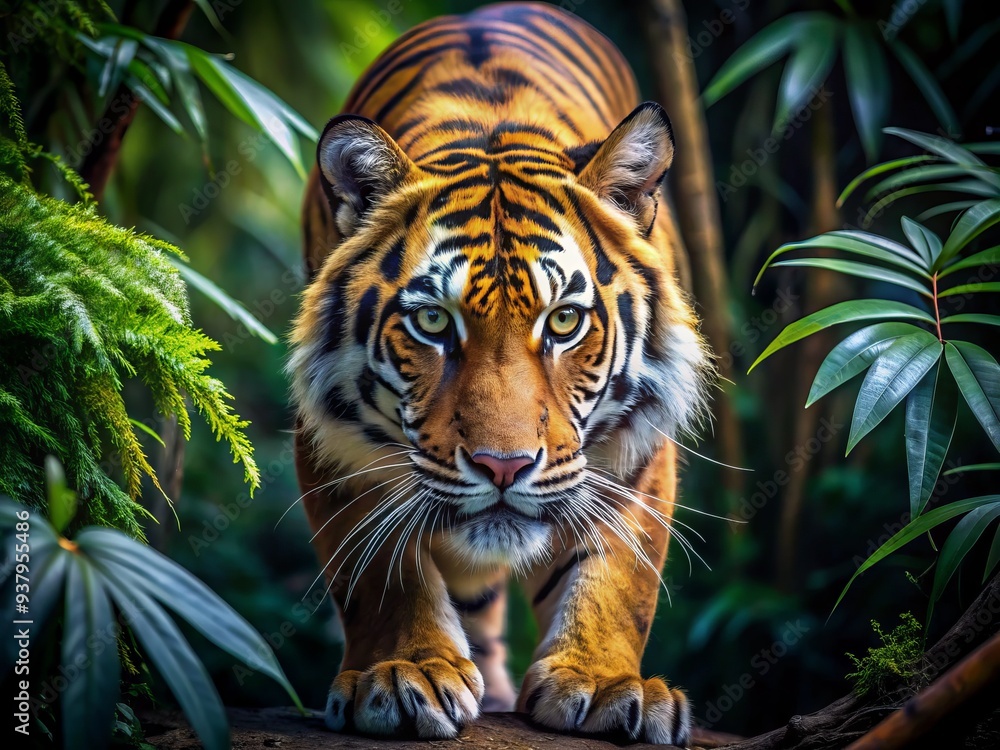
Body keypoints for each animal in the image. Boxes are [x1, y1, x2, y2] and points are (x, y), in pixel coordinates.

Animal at [289, 2, 713, 745]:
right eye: (433, 322)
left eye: (564, 321)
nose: (503, 466)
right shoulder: (332, 438)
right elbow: (379, 574)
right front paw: (403, 674)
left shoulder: (637, 440)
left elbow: (620, 575)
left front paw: (606, 681)